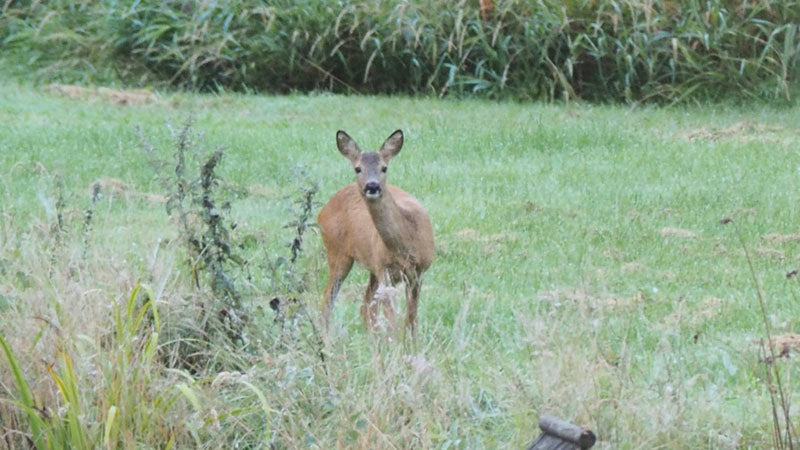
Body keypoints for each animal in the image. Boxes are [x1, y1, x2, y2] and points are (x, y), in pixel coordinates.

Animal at [318, 127, 434, 338]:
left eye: (384, 167)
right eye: (357, 168)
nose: (372, 186)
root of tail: (323, 210)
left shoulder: (419, 271)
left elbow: (411, 319)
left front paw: (411, 344)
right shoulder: (384, 270)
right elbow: (393, 321)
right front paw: (396, 343)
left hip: (371, 265)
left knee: (366, 306)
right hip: (338, 253)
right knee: (328, 301)